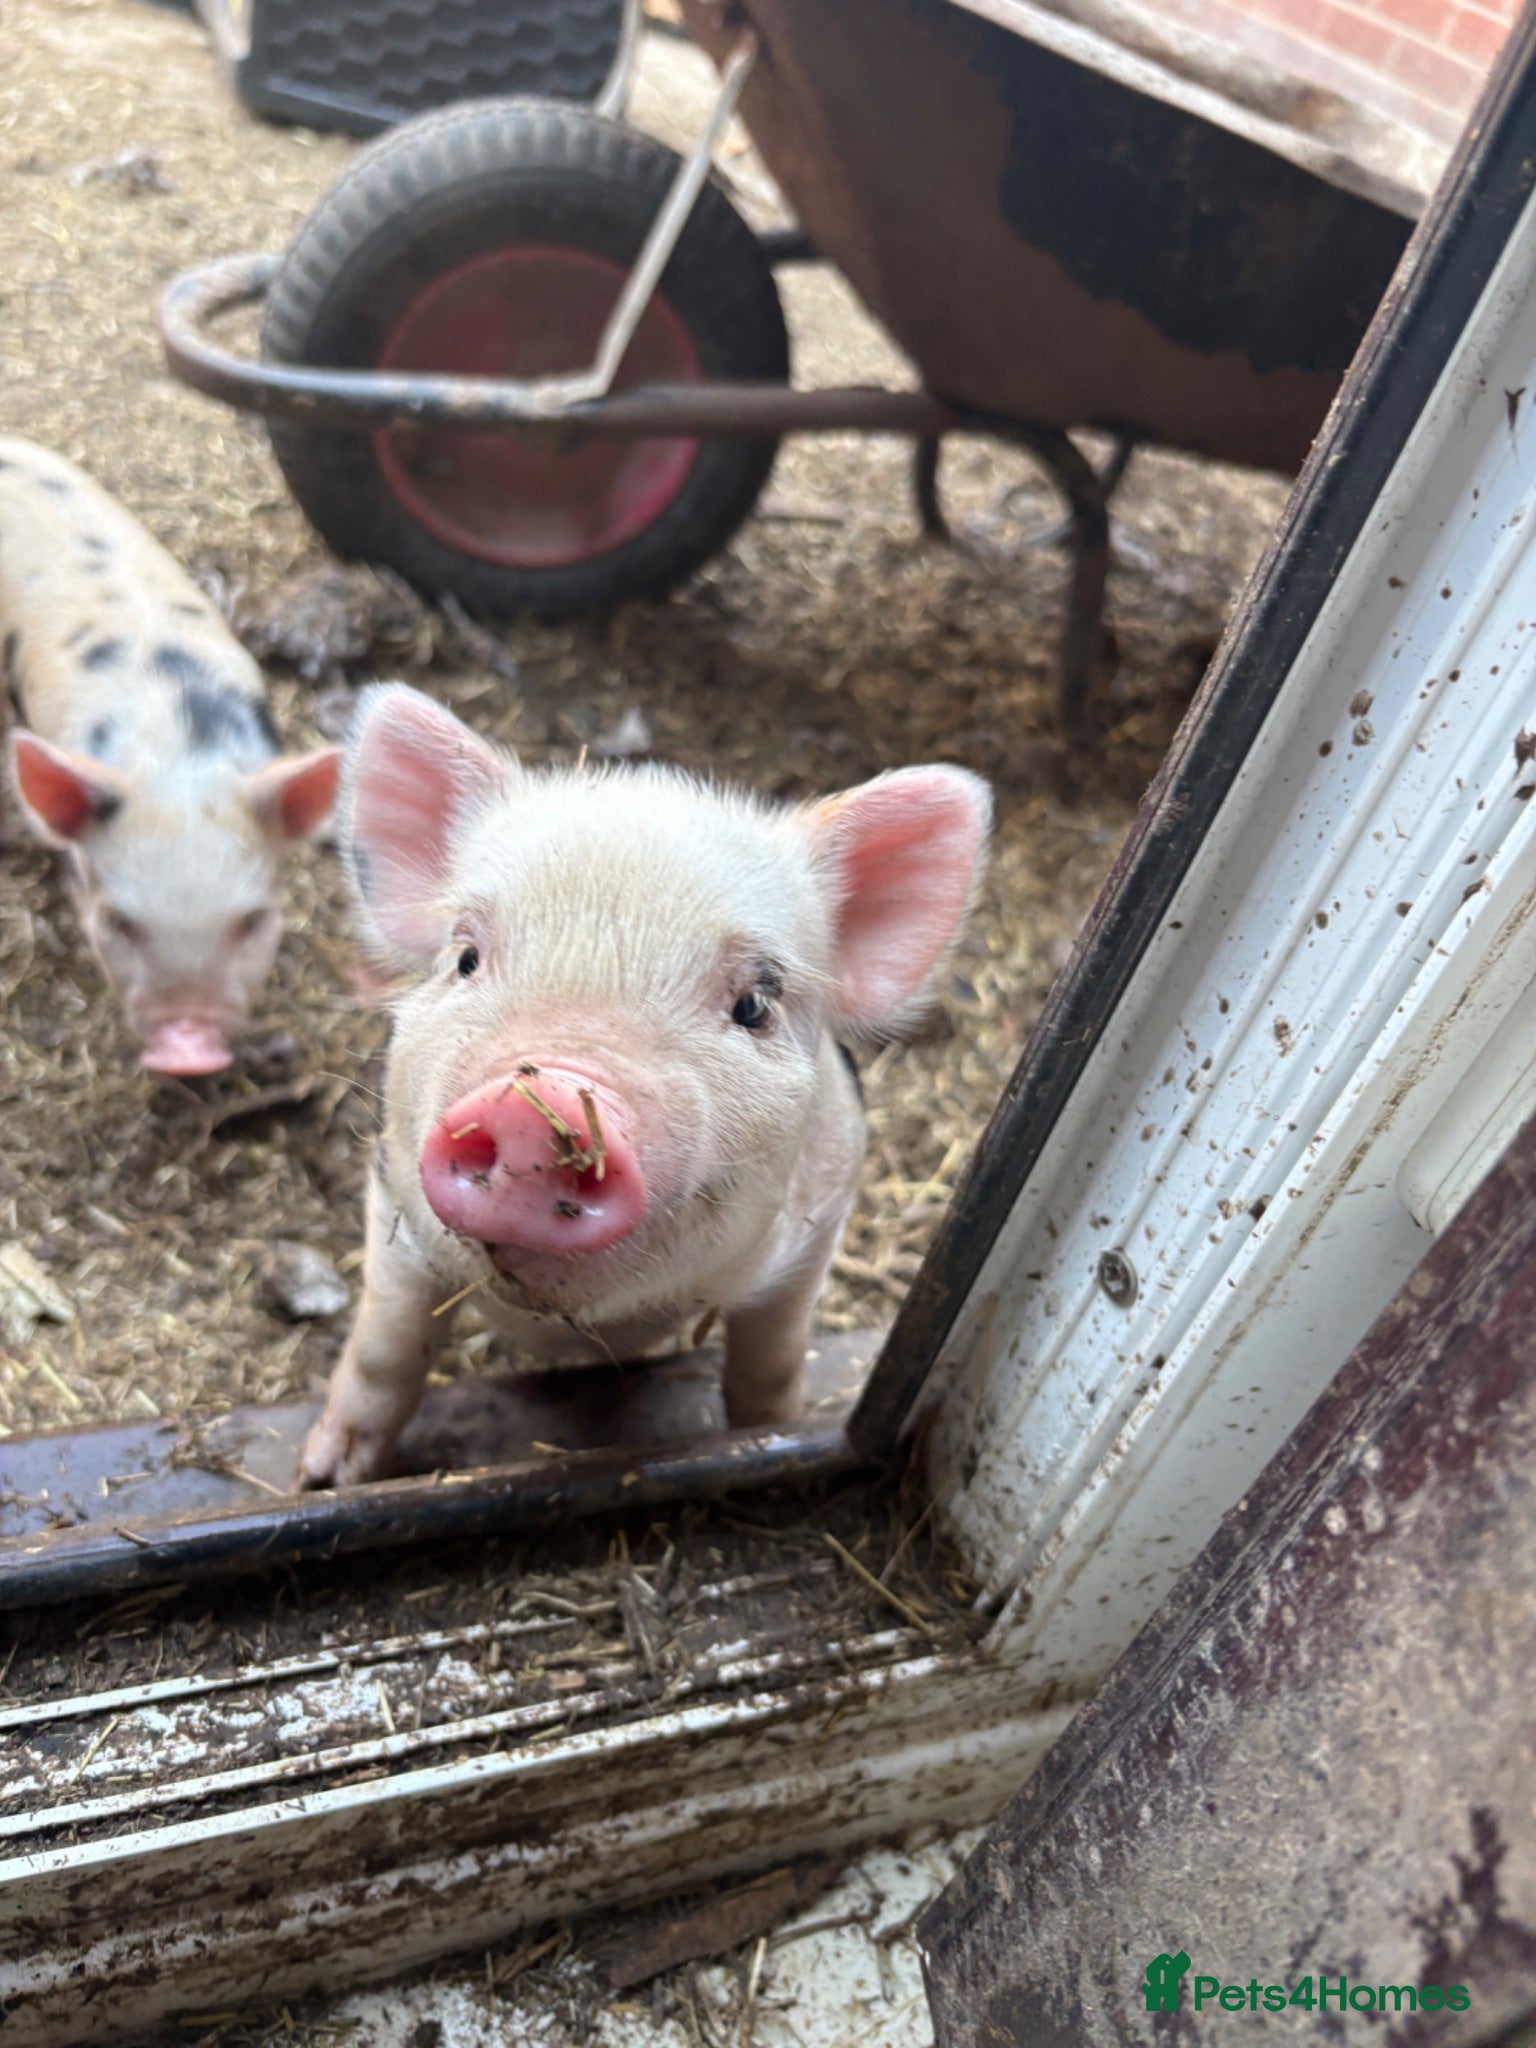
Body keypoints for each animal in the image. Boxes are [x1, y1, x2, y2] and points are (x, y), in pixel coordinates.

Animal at [300, 684, 991, 1487]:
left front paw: (771, 1437)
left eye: (754, 1005)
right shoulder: (394, 1201)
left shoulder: (818, 1225)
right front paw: (322, 1476)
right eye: (465, 957)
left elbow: (771, 1360)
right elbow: (386, 1345)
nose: (545, 1100)